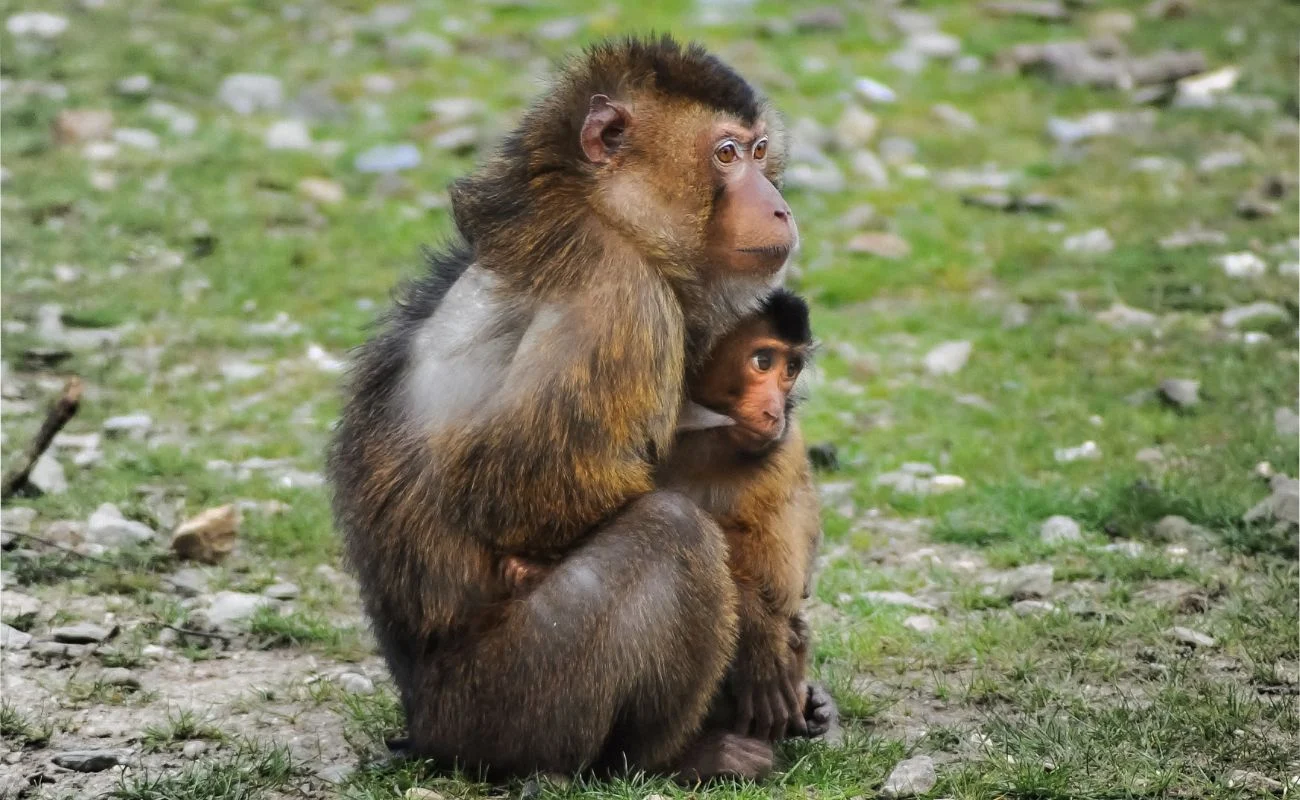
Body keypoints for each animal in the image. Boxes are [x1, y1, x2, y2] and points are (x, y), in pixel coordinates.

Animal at [327, 36, 798, 782]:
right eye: (725, 155)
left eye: (758, 151)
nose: (778, 206)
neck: (601, 212)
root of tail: (422, 722)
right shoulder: (620, 298)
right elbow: (523, 493)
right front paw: (759, 628)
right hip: (509, 701)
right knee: (672, 530)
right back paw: (675, 754)